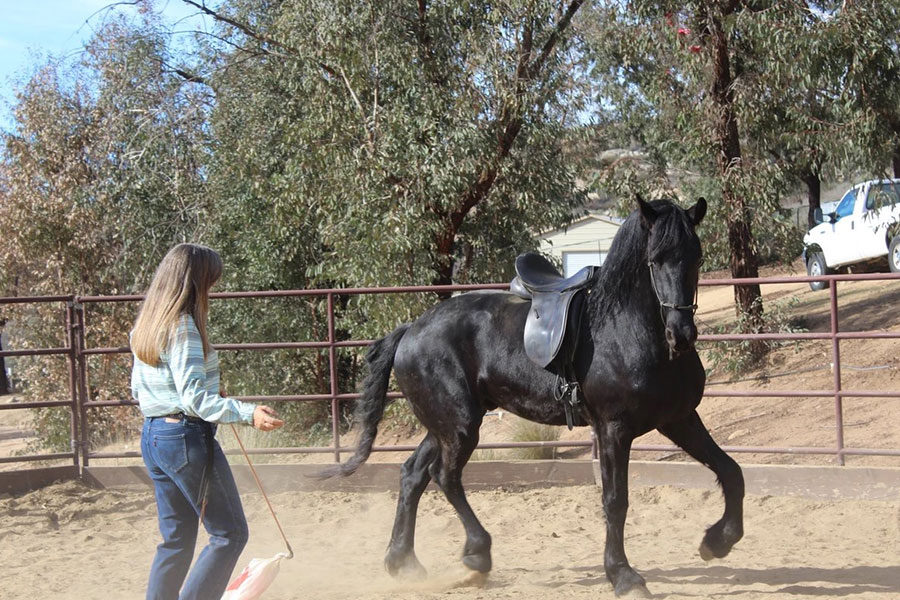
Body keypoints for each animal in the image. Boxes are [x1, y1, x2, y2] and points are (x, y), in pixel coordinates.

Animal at [318, 197, 744, 597]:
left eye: (697, 256)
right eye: (654, 260)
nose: (681, 335)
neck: (625, 331)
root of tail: (410, 330)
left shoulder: (679, 419)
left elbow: (731, 471)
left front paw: (717, 542)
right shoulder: (613, 429)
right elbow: (615, 501)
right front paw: (624, 577)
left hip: (444, 425)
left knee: (412, 475)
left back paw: (403, 562)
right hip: (459, 426)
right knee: (445, 477)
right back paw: (477, 554)